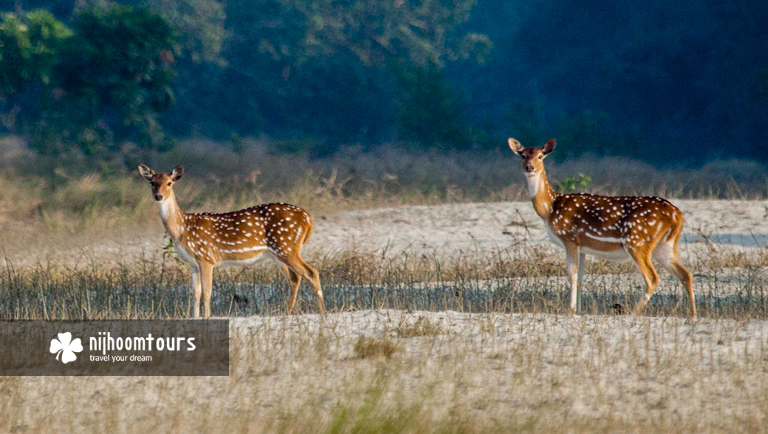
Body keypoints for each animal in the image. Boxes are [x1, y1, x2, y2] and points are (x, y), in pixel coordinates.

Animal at [138, 164, 324, 318]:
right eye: (152, 182)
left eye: (169, 183)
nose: (158, 196)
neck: (182, 229)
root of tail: (308, 218)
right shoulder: (193, 263)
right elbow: (196, 293)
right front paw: (195, 317)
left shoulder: (206, 257)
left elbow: (207, 293)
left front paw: (206, 317)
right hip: (277, 254)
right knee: (295, 278)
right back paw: (287, 312)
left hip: (286, 247)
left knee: (311, 273)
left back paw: (321, 312)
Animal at [510, 138, 696, 316]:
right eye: (522, 155)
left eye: (540, 156)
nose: (529, 167)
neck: (550, 208)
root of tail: (677, 214)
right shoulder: (582, 246)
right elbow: (581, 277)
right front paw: (579, 310)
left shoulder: (569, 238)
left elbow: (572, 275)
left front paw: (570, 309)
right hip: (665, 245)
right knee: (685, 274)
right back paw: (692, 314)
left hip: (637, 241)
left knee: (653, 278)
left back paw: (632, 312)